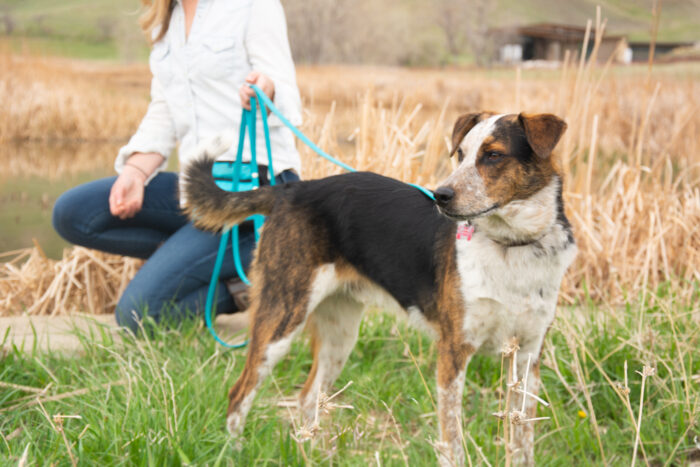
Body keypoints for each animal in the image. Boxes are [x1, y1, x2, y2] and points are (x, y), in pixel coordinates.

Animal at [183, 111, 576, 466]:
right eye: (461, 154)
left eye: (493, 155)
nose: (441, 195)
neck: (513, 245)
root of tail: (292, 189)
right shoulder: (454, 351)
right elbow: (452, 439)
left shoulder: (527, 356)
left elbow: (522, 440)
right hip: (281, 318)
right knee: (239, 393)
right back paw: (233, 452)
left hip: (340, 335)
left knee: (308, 397)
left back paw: (311, 455)